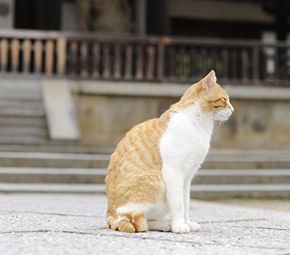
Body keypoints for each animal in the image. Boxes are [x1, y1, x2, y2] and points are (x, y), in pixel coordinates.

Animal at [104, 69, 233, 233]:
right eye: (224, 99)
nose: (232, 110)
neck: (198, 123)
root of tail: (109, 211)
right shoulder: (174, 172)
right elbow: (178, 204)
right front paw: (179, 225)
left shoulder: (187, 177)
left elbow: (186, 203)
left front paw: (187, 223)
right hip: (155, 183)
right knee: (133, 219)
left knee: (146, 220)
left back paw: (164, 224)